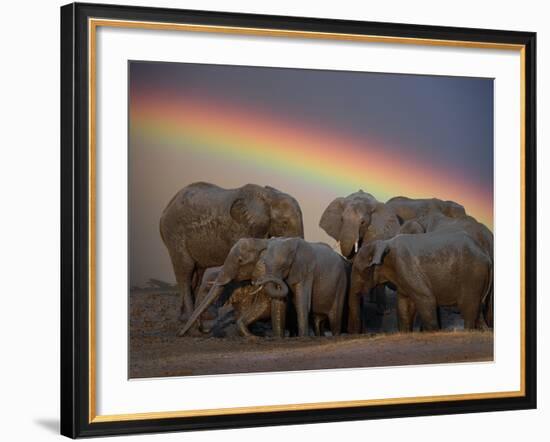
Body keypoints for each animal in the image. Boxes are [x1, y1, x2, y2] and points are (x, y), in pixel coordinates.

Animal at [160, 182, 306, 322]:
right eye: (284, 222)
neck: (269, 196)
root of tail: (164, 211)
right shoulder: (241, 227)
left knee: (197, 272)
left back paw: (194, 317)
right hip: (174, 235)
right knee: (186, 269)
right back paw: (190, 318)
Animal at [352, 231, 494, 332]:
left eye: (359, 270)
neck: (383, 243)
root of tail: (486, 257)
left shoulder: (406, 266)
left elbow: (427, 300)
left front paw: (433, 332)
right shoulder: (402, 276)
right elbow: (404, 306)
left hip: (472, 277)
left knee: (468, 309)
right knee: (478, 310)